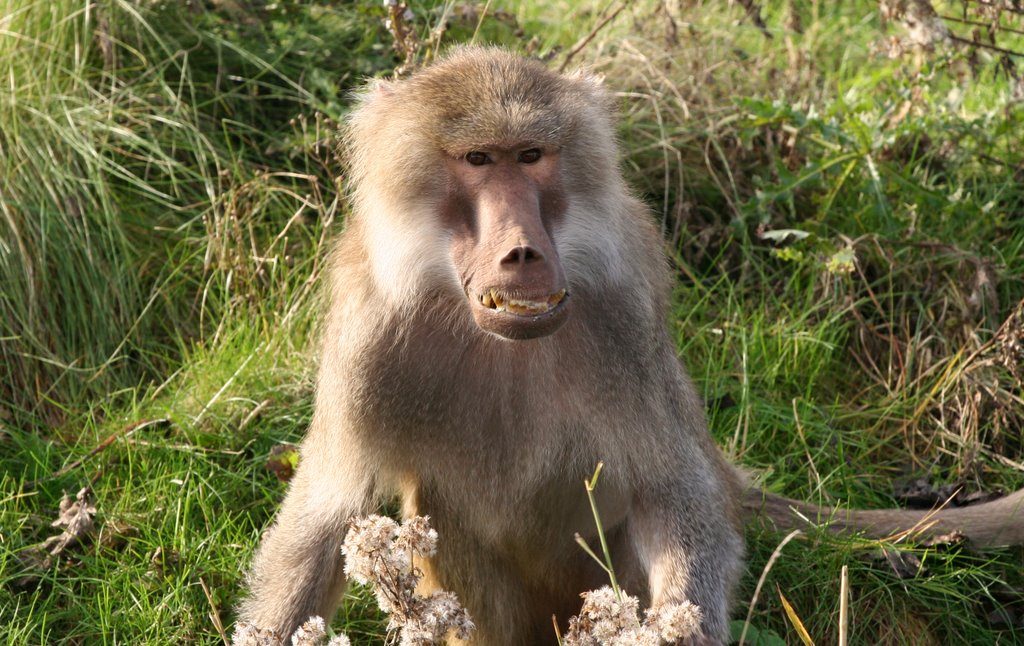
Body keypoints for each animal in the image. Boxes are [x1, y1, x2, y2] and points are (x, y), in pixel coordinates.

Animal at [239, 46, 1024, 646]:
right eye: (478, 159)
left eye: (532, 155)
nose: (522, 254)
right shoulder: (367, 341)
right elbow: (326, 518)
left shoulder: (626, 319)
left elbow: (673, 499)